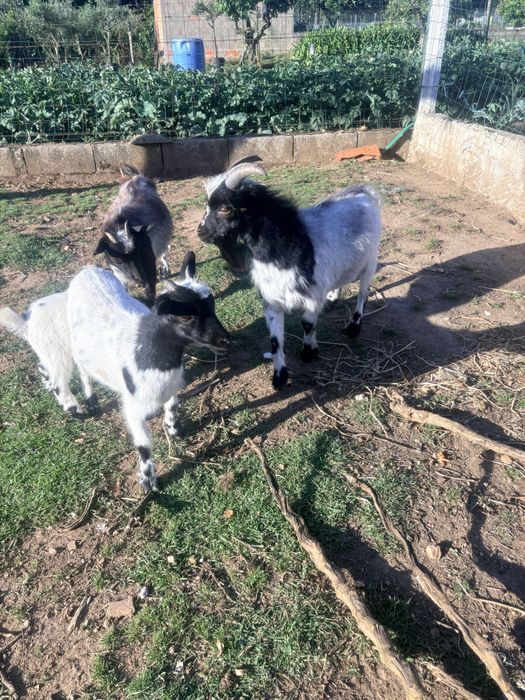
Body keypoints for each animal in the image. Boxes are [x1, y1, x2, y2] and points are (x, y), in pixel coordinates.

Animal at [0, 253, 230, 492]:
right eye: (185, 317)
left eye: (212, 303)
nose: (225, 340)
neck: (148, 352)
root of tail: (87, 271)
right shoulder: (133, 407)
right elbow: (144, 446)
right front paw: (149, 483)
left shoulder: (171, 384)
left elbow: (173, 406)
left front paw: (174, 430)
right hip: (60, 348)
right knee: (60, 375)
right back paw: (75, 409)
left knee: (82, 368)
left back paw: (90, 402)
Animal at [95, 163, 173, 304]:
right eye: (117, 259)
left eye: (139, 252)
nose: (141, 280)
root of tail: (137, 178)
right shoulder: (118, 275)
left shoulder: (149, 268)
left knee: (164, 248)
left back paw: (165, 269)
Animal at [198, 156, 381, 390]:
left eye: (225, 208)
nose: (200, 231)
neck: (285, 246)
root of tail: (366, 191)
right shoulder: (272, 299)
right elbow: (276, 340)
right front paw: (280, 376)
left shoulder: (311, 296)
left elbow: (307, 324)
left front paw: (309, 352)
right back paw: (332, 299)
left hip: (370, 262)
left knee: (362, 294)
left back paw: (353, 328)